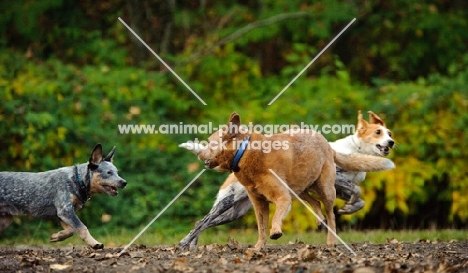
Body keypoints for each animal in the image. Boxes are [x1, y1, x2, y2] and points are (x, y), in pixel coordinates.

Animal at [179, 111, 394, 250]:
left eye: (209, 142)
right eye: (378, 132)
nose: (391, 142)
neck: (246, 154)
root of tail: (325, 142)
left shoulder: (283, 197)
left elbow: (274, 219)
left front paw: (275, 232)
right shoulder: (260, 204)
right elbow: (261, 227)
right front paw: (259, 247)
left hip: (323, 189)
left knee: (330, 214)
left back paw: (331, 239)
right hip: (234, 207)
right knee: (202, 222)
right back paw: (187, 243)